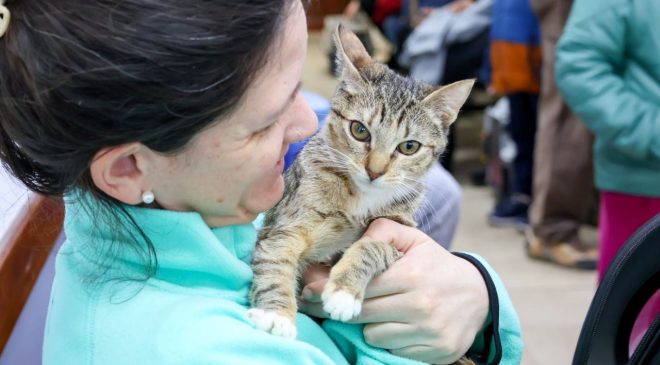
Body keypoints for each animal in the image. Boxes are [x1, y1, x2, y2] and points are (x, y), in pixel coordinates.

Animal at [249, 25, 474, 362]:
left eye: (409, 146)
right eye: (359, 130)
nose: (375, 171)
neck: (360, 199)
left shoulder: (399, 229)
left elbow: (373, 246)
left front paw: (345, 291)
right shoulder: (285, 224)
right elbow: (276, 257)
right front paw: (276, 313)